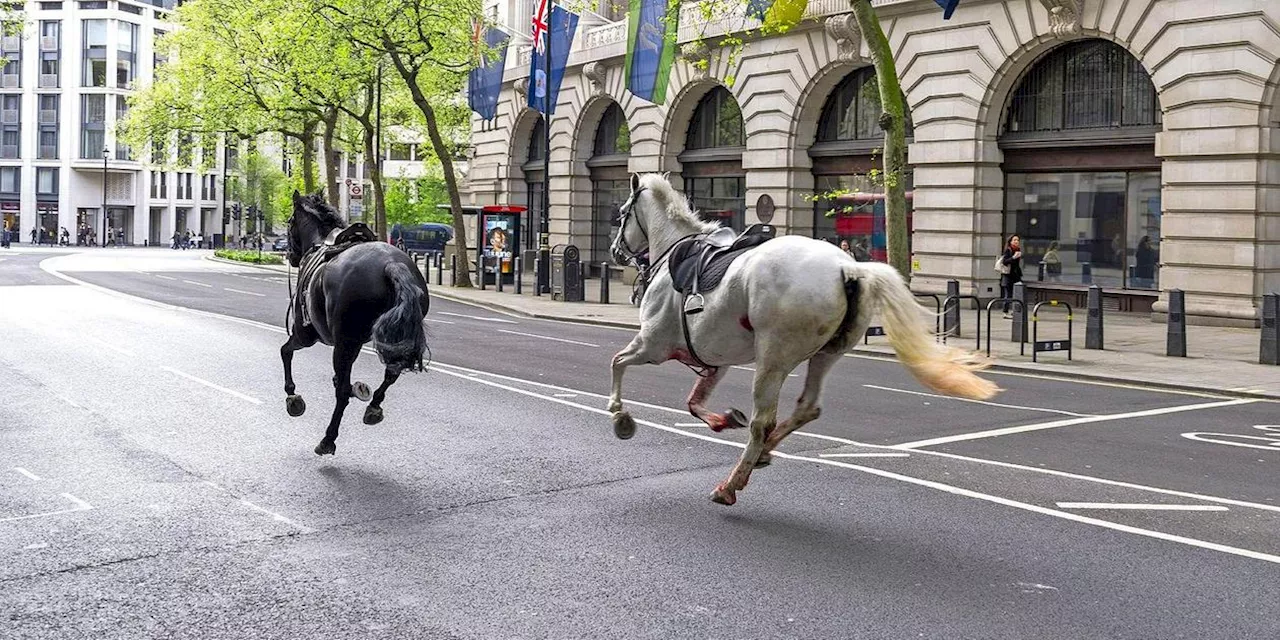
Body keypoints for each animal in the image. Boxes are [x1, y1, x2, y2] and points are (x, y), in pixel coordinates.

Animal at [281, 189, 430, 455]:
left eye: (290, 222)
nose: (291, 256)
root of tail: (391, 264)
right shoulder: (356, 342)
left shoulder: (305, 335)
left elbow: (285, 352)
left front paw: (292, 396)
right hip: (389, 337)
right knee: (392, 372)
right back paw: (374, 406)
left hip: (340, 342)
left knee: (342, 393)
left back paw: (328, 439)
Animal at [609, 174, 998, 504]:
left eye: (622, 213)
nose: (614, 252)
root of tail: (849, 267)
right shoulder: (714, 358)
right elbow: (694, 402)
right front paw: (722, 419)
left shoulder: (653, 344)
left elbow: (617, 363)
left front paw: (620, 415)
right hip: (826, 354)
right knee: (806, 408)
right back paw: (763, 453)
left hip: (773, 358)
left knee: (762, 421)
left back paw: (732, 483)